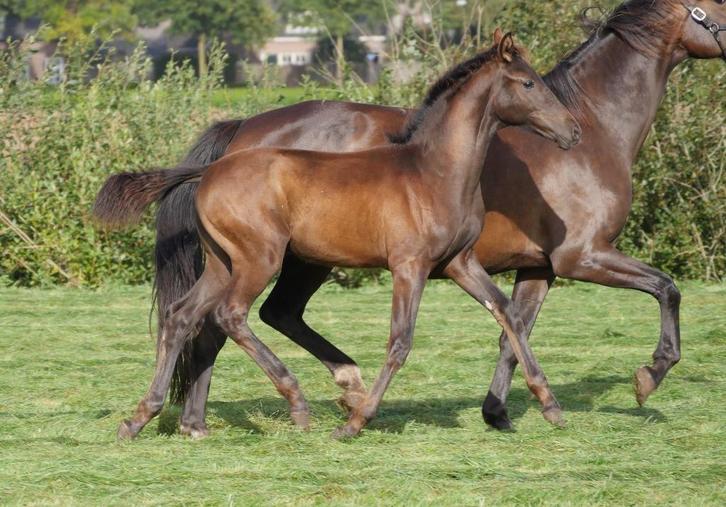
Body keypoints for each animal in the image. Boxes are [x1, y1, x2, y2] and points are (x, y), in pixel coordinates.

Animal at [95, 32, 581, 439]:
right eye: (528, 83)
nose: (572, 131)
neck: (434, 172)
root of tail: (210, 169)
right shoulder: (409, 266)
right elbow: (400, 341)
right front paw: (356, 421)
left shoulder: (460, 263)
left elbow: (508, 315)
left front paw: (550, 406)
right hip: (260, 259)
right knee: (230, 315)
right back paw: (296, 403)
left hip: (222, 262)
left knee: (182, 315)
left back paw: (143, 418)